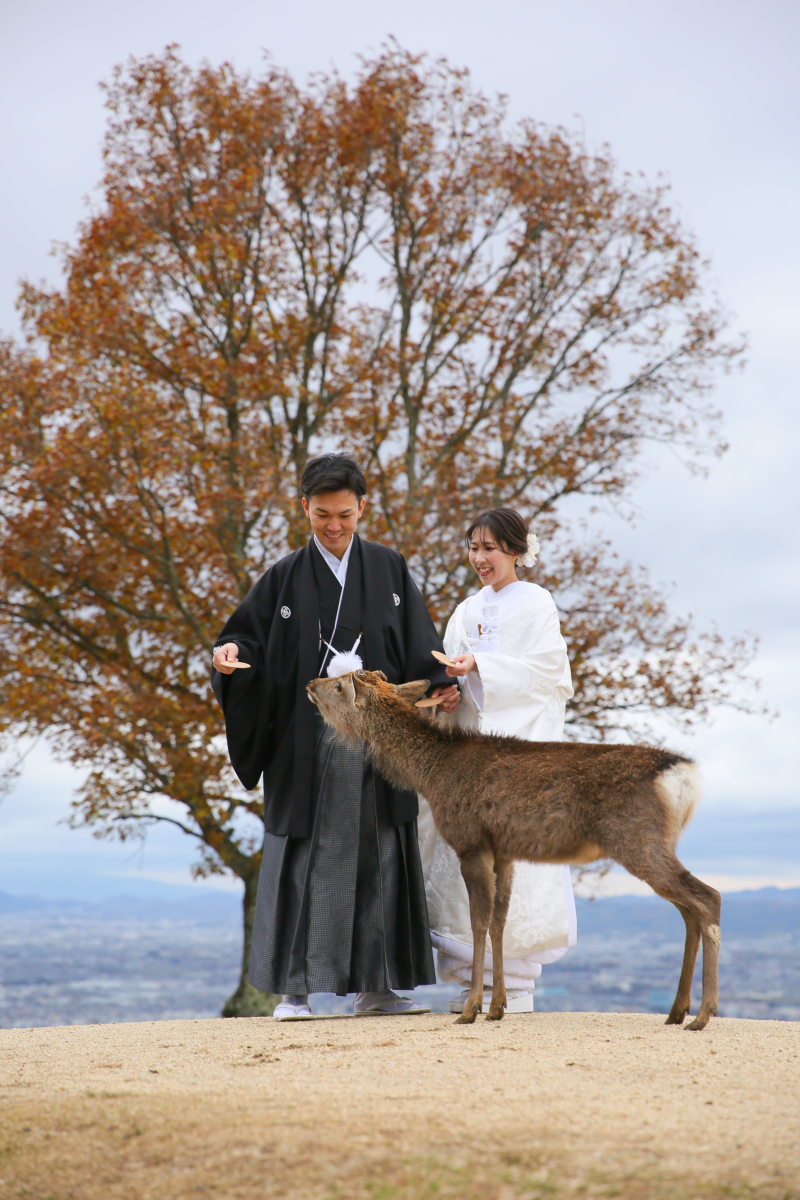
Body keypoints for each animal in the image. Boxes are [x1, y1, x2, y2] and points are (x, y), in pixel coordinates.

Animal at [306, 669, 721, 1030]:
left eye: (340, 685)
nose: (311, 684)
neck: (430, 776)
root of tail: (683, 778)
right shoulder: (503, 851)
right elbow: (499, 921)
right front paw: (497, 1007)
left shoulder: (471, 841)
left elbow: (477, 921)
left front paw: (471, 1009)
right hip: (657, 843)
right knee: (689, 911)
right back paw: (677, 1011)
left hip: (637, 838)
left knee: (707, 897)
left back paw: (703, 1014)